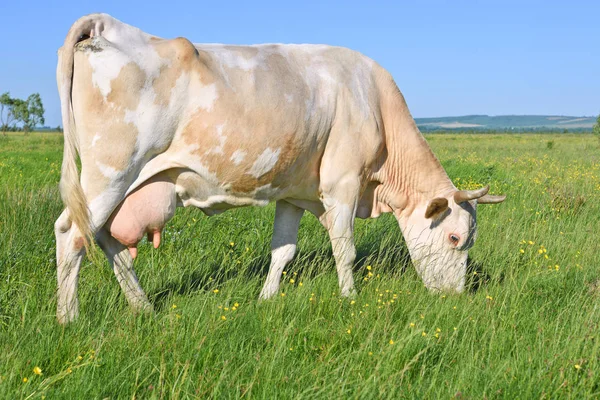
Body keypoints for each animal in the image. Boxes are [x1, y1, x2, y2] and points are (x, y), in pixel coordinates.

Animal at [57, 12, 506, 324]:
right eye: (454, 237)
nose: (455, 297)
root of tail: (105, 24)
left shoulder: (293, 192)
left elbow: (283, 250)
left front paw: (266, 299)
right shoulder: (342, 184)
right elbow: (345, 249)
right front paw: (350, 298)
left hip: (122, 184)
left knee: (105, 239)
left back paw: (143, 307)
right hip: (109, 174)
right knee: (71, 235)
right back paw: (68, 318)